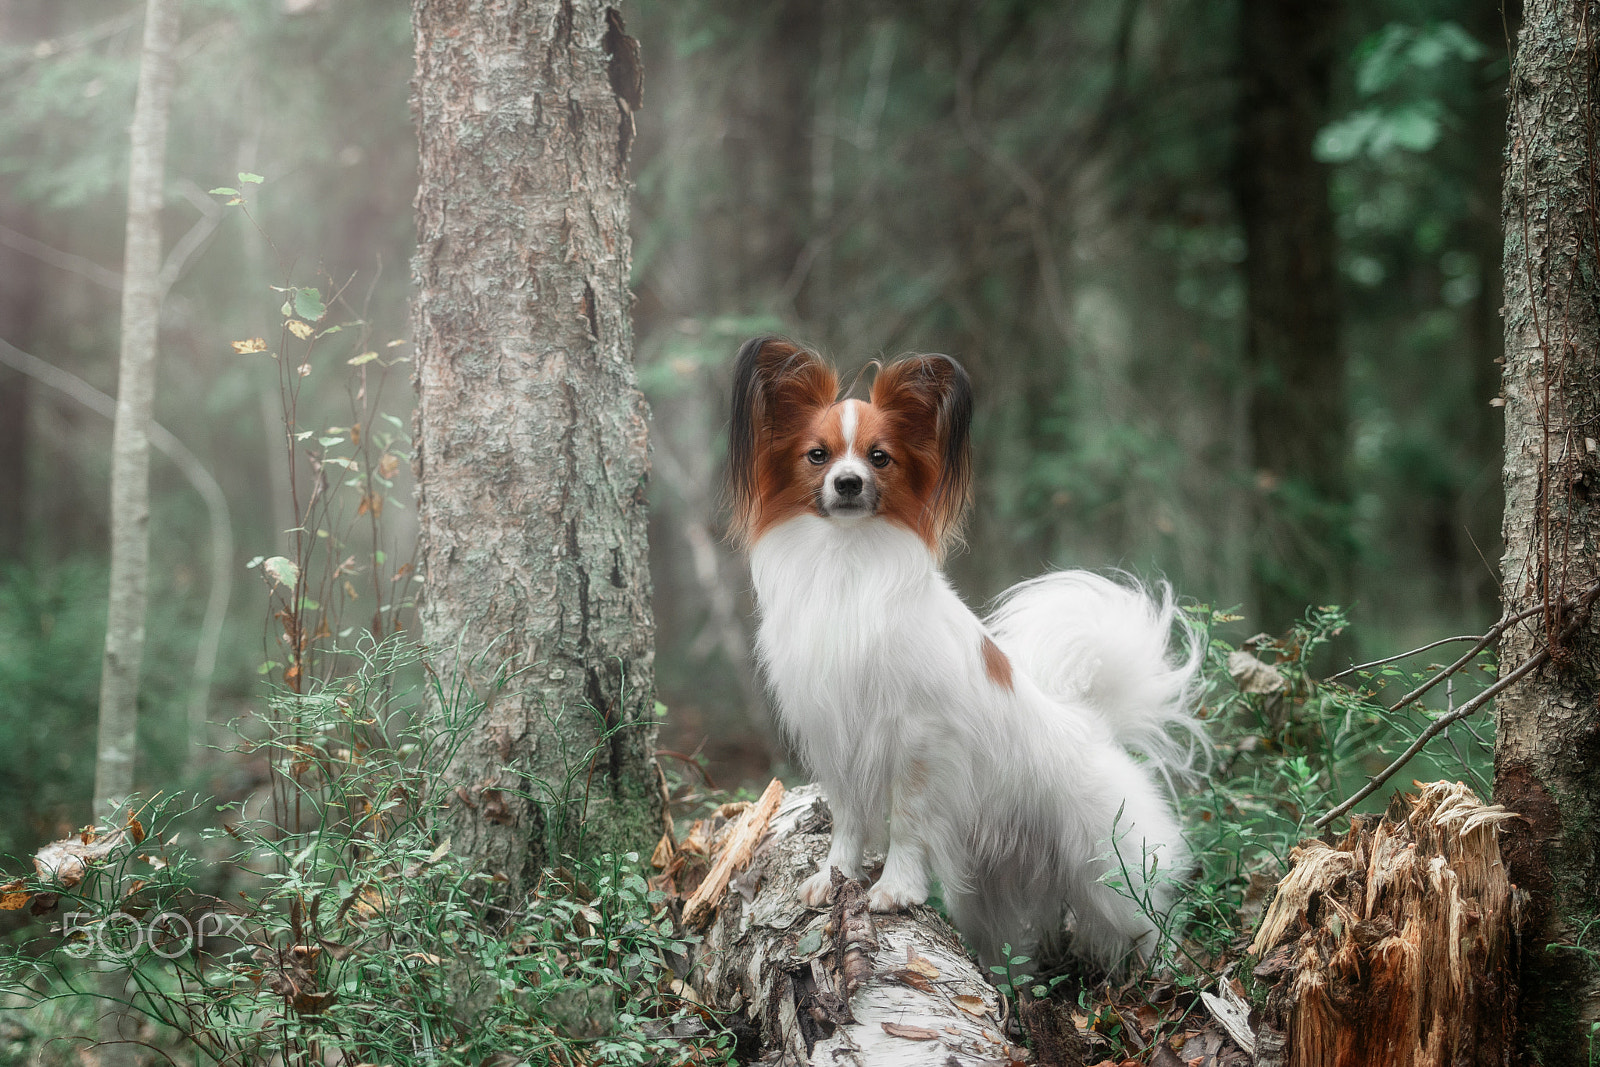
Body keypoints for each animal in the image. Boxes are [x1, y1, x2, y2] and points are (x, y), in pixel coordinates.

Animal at [726, 337, 1203, 972]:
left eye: (880, 458)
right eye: (817, 456)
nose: (848, 483)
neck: (849, 562)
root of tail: (1091, 724)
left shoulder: (919, 742)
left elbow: (906, 822)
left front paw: (894, 890)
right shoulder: (837, 739)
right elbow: (848, 821)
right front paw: (834, 878)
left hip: (1112, 873)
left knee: (1150, 927)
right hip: (987, 896)